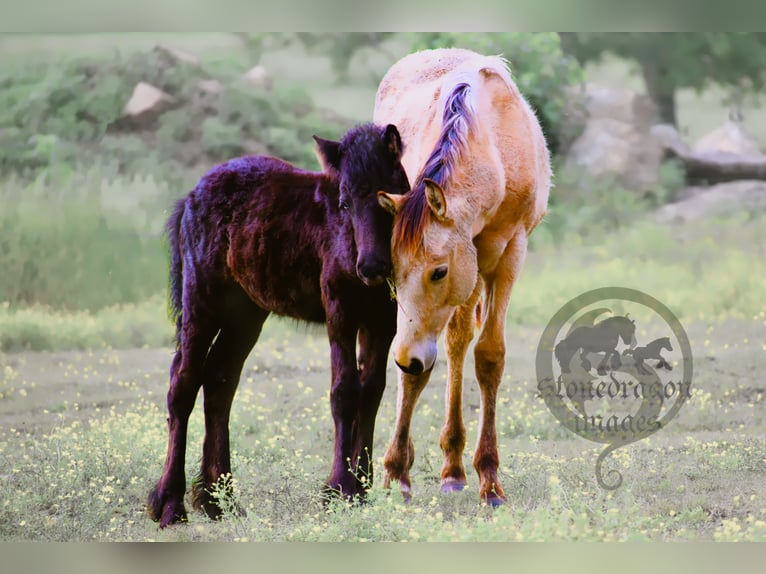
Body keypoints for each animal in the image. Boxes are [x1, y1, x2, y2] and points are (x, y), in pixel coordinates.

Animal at [148, 124, 412, 528]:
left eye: (390, 193)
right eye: (345, 202)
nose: (371, 267)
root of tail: (191, 196)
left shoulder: (381, 323)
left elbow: (371, 393)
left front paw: (361, 489)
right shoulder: (340, 314)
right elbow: (344, 392)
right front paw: (339, 489)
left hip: (245, 313)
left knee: (219, 383)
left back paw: (218, 501)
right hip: (202, 304)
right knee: (184, 385)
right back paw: (171, 504)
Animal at [374, 50, 548, 508]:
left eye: (439, 271)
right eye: (391, 275)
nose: (407, 357)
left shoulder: (508, 254)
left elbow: (488, 356)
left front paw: (489, 479)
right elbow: (421, 370)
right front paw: (396, 472)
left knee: (458, 343)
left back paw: (455, 468)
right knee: (447, 347)